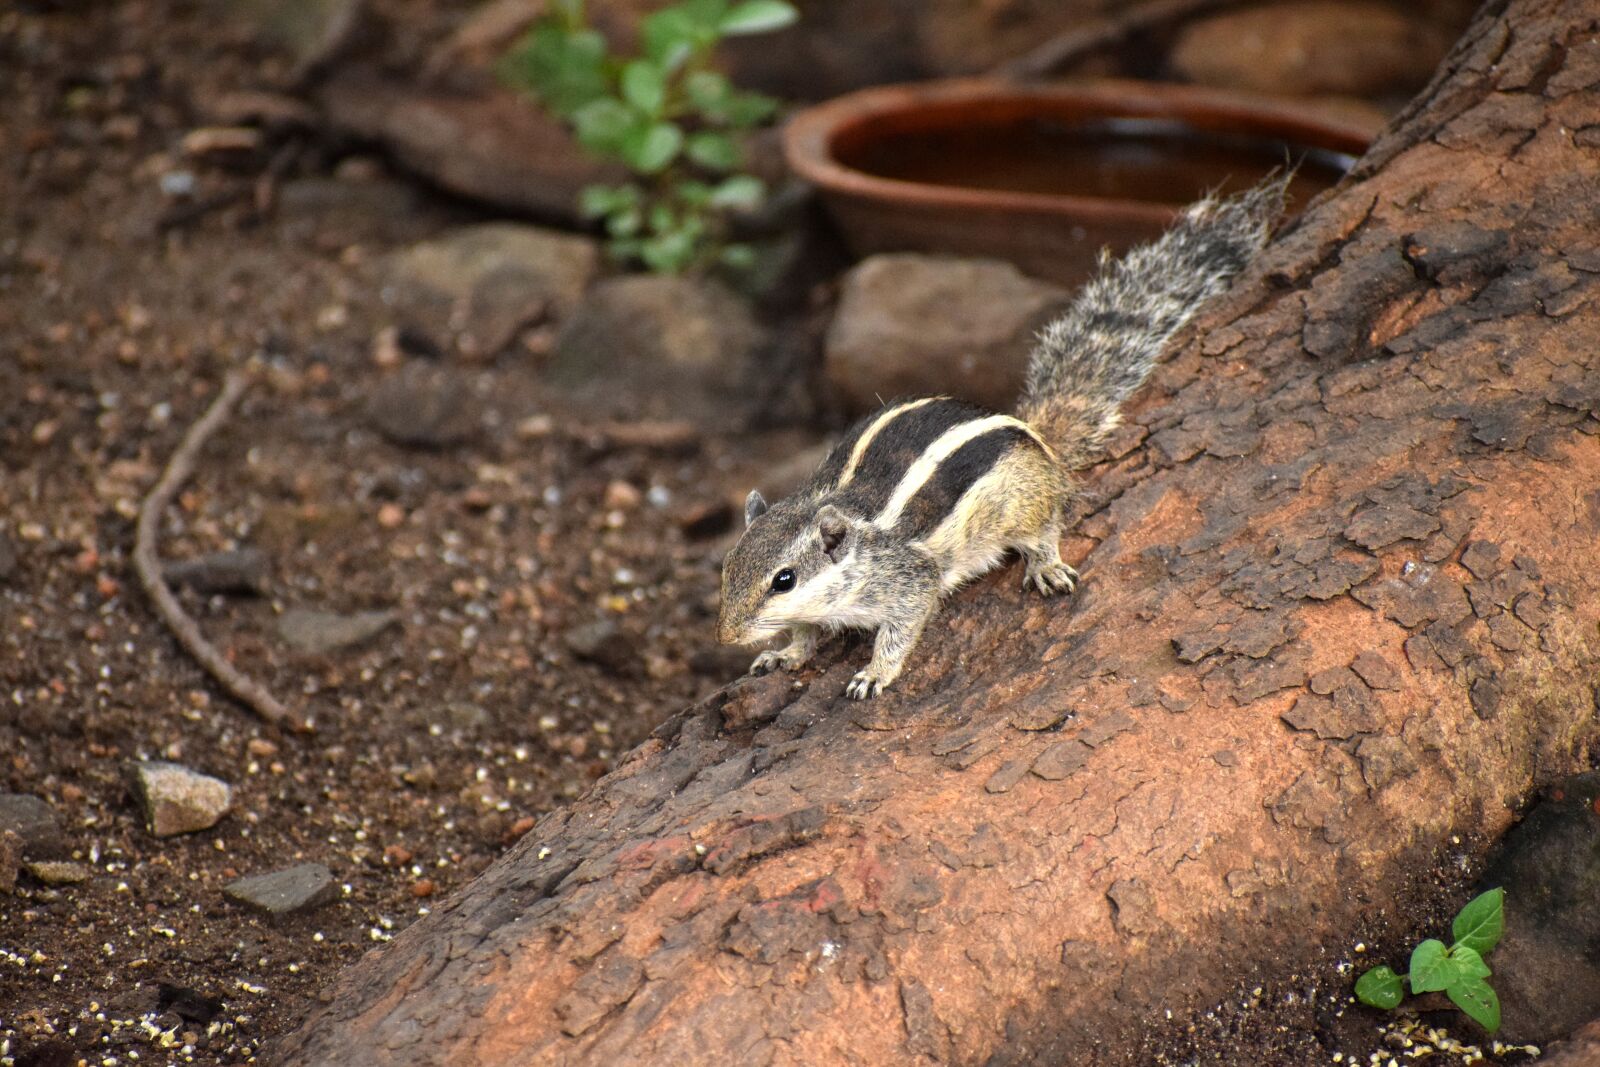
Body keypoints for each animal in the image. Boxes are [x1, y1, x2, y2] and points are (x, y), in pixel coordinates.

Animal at [717, 176, 1289, 700]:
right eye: (727, 566)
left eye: (784, 579)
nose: (726, 636)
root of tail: (1038, 437)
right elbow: (804, 630)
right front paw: (785, 653)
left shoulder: (907, 580)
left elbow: (901, 629)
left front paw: (874, 673)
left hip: (1023, 502)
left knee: (1047, 525)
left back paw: (1046, 565)